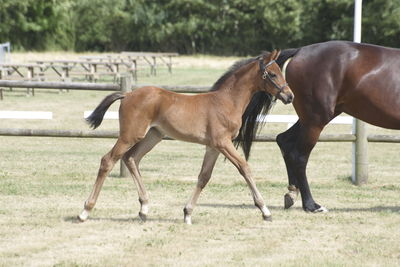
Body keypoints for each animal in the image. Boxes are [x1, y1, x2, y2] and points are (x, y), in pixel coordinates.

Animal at [77, 49, 294, 224]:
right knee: (108, 160)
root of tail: (128, 95)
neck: (226, 101)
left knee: (131, 158)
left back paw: (144, 208)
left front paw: (187, 213)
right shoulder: (223, 143)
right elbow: (245, 168)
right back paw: (85, 211)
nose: (289, 96)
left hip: (153, 136)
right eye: (273, 74)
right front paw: (265, 211)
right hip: (130, 136)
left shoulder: (213, 147)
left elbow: (204, 177)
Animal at [236, 41, 400, 214]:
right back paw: (311, 205)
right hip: (315, 121)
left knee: (284, 140)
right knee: (299, 156)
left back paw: (292, 193)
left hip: (312, 119)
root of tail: (301, 50)